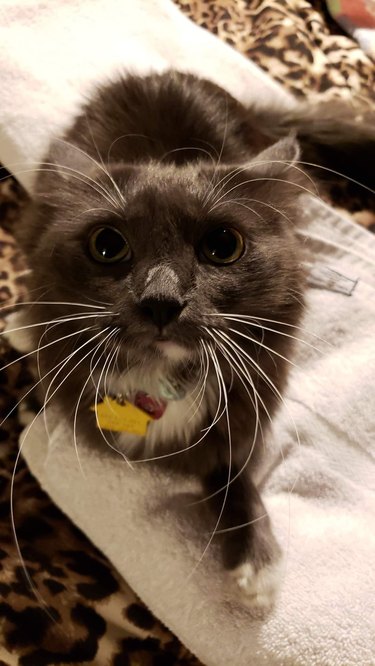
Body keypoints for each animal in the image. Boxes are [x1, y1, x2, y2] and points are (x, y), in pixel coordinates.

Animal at [8, 70, 375, 604]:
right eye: (107, 245)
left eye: (223, 245)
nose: (161, 300)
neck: (161, 375)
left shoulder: (240, 414)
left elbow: (232, 474)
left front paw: (257, 566)